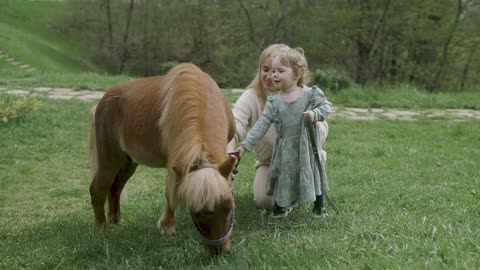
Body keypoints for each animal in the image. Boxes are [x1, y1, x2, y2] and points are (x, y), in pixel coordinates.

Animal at [88, 62, 238, 255]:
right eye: (195, 213)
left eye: (229, 207)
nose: (219, 252)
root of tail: (104, 100)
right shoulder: (175, 163)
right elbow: (170, 192)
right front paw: (167, 227)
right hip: (109, 160)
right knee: (98, 188)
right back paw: (101, 228)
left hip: (129, 162)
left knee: (116, 188)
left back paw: (116, 221)